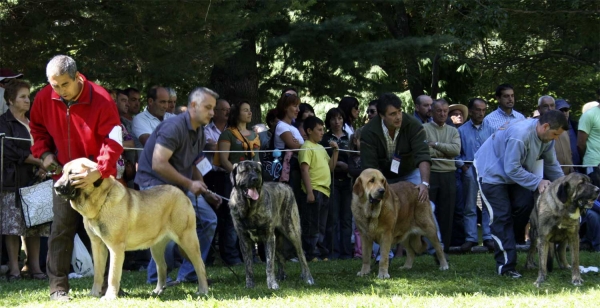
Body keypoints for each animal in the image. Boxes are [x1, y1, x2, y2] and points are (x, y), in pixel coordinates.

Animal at [54, 158, 209, 300]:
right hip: (156, 246)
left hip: (187, 238)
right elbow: (98, 273)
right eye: (62, 172)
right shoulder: (97, 245)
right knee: (162, 266)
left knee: (200, 265)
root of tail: (183, 194)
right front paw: (94, 294)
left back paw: (203, 291)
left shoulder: (116, 247)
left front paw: (109, 297)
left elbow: (112, 275)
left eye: (73, 174)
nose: (56, 187)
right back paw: (158, 291)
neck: (101, 201)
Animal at [229, 160, 314, 290]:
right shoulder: (244, 240)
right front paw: (250, 284)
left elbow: (269, 264)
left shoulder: (268, 237)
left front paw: (272, 284)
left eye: (257, 171)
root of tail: (286, 186)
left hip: (292, 232)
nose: (255, 179)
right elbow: (248, 266)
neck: (249, 209)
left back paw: (308, 278)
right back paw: (281, 276)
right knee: (282, 258)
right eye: (244, 171)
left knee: (302, 256)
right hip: (277, 239)